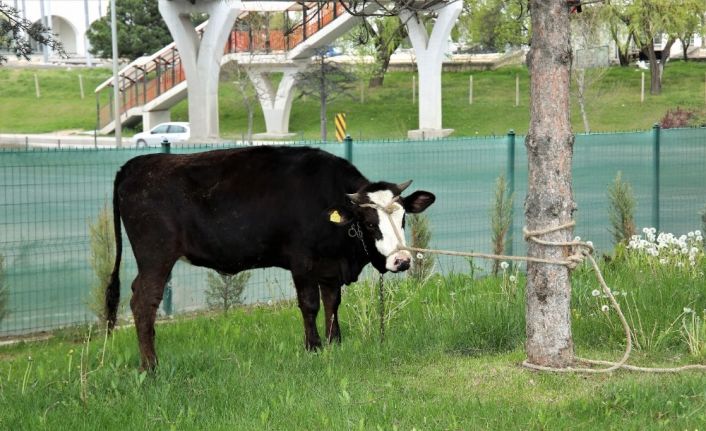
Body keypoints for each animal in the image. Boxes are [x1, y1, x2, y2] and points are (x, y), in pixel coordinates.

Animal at [106, 147, 434, 370]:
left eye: (403, 217)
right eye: (368, 222)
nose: (401, 261)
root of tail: (135, 164)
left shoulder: (329, 266)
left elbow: (332, 302)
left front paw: (334, 342)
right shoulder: (302, 262)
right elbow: (310, 304)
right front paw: (313, 347)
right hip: (156, 256)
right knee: (143, 301)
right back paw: (151, 366)